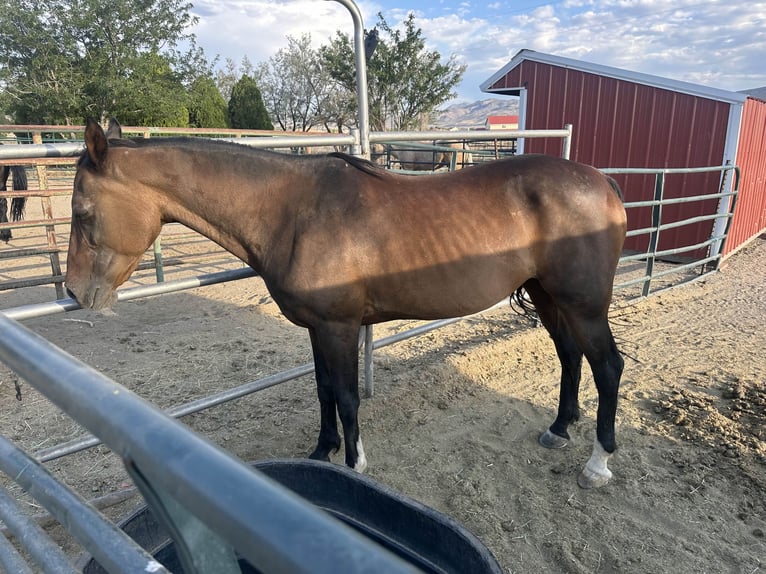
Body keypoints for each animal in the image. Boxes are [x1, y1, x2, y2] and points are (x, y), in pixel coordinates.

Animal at [67, 119, 632, 488]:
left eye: (82, 210)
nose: (75, 293)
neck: (293, 211)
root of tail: (602, 180)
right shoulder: (317, 328)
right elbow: (321, 390)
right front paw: (322, 452)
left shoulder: (338, 326)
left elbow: (345, 396)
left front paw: (354, 463)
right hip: (548, 296)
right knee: (570, 357)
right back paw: (558, 429)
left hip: (584, 305)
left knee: (607, 365)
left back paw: (598, 464)